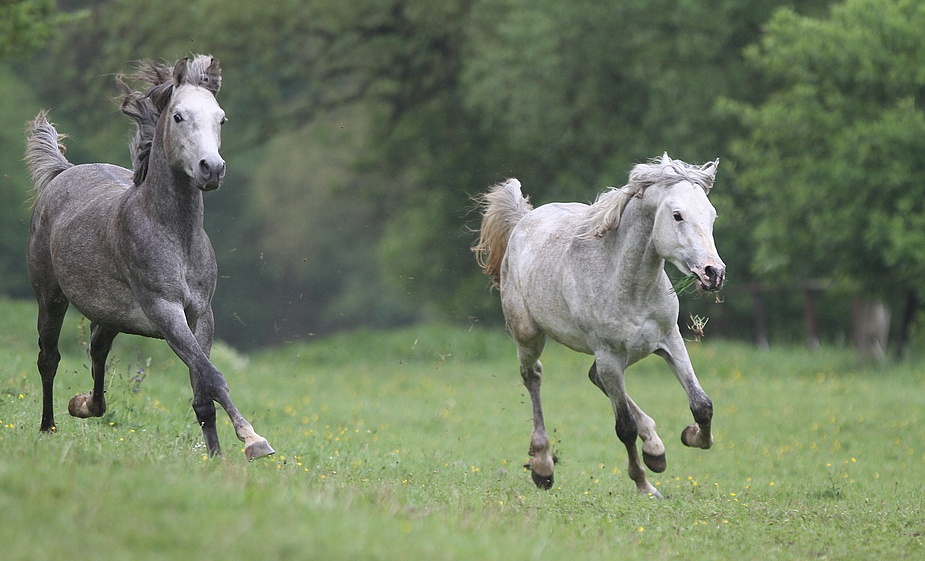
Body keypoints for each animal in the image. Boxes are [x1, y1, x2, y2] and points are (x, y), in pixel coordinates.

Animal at [23, 54, 272, 460]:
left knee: (97, 348)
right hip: (51, 296)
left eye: (221, 118)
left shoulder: (200, 314)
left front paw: (217, 457)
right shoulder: (165, 310)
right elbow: (213, 376)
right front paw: (254, 441)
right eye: (178, 116)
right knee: (49, 358)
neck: (176, 237)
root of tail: (64, 171)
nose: (212, 169)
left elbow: (202, 391)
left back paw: (84, 405)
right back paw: (48, 427)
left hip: (110, 314)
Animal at [472, 153, 724, 494]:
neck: (628, 284)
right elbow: (624, 427)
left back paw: (655, 449)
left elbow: (701, 404)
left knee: (594, 377)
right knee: (533, 376)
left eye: (711, 215)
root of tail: (523, 219)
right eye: (677, 215)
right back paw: (542, 466)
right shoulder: (608, 354)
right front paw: (644, 485)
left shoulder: (669, 341)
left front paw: (691, 437)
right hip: (529, 337)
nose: (714, 273)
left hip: (626, 354)